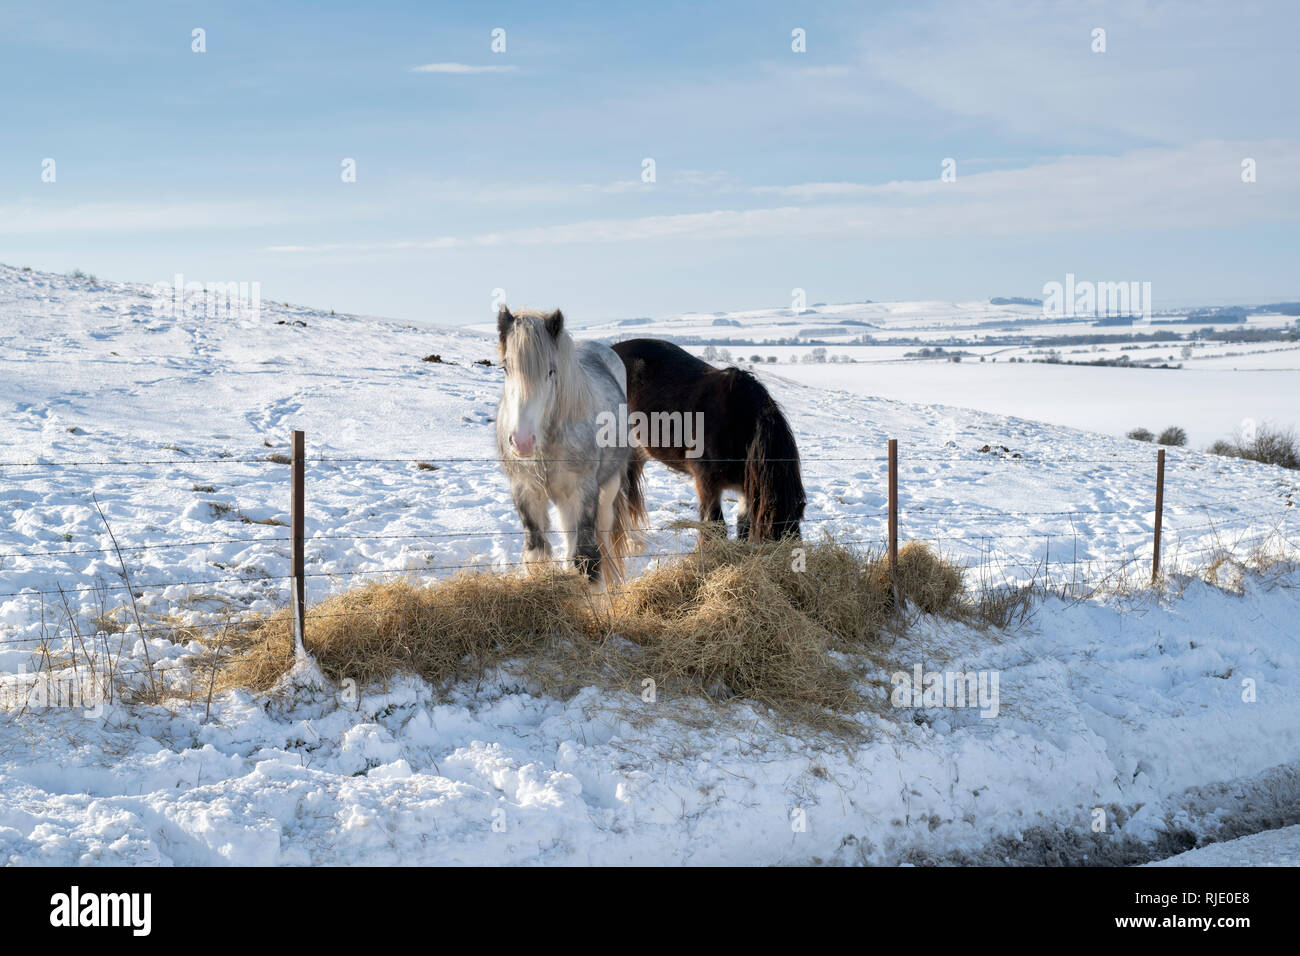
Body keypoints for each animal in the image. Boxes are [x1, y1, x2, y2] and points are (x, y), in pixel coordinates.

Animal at [491, 306, 644, 590]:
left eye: (552, 372)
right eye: (505, 368)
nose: (522, 441)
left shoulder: (582, 492)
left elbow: (587, 561)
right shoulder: (525, 492)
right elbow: (537, 555)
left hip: (606, 490)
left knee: (603, 539)